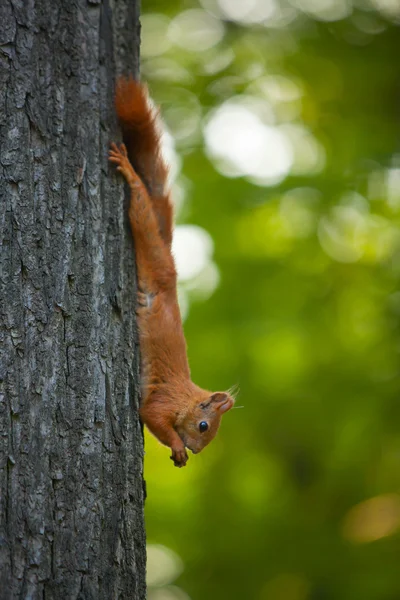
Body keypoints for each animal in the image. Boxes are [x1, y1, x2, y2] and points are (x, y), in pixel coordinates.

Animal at [109, 76, 234, 468]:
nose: (195, 449)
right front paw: (178, 447)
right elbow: (150, 415)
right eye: (204, 426)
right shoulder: (162, 400)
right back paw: (131, 175)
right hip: (154, 258)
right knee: (142, 216)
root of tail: (173, 275)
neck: (187, 396)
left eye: (210, 435)